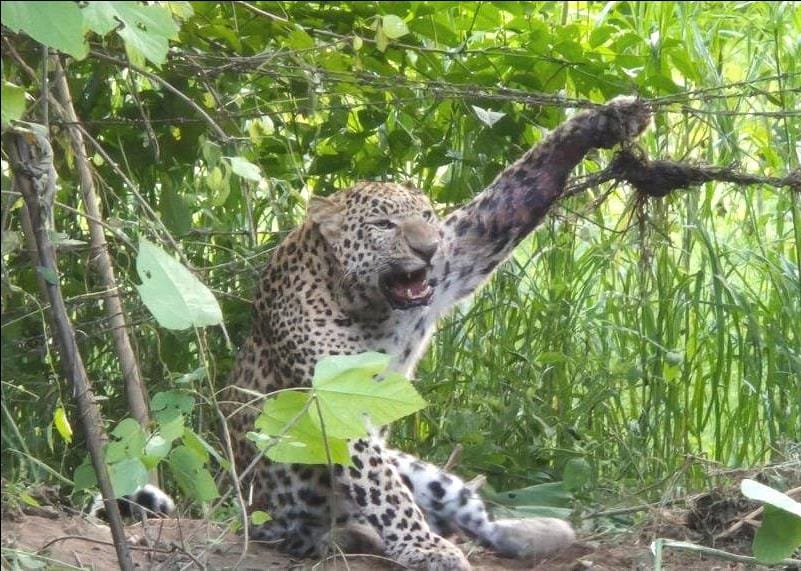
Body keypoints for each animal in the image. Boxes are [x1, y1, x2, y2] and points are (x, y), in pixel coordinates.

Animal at [128, 97, 651, 570]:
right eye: (383, 224)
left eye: (428, 217)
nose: (428, 248)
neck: (369, 304)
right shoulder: (335, 400)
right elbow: (383, 491)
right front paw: (422, 548)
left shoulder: (461, 251)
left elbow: (510, 197)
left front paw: (608, 119)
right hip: (279, 509)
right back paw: (358, 536)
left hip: (421, 470)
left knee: (470, 514)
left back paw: (534, 533)